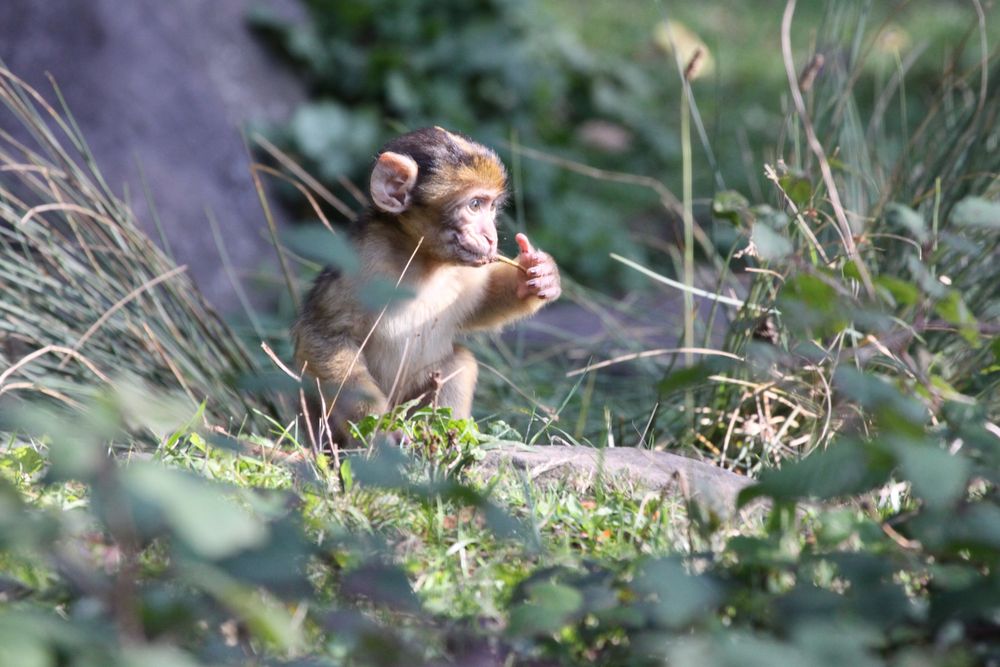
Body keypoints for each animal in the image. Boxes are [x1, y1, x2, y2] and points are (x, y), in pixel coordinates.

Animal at [292, 129, 564, 444]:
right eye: (474, 205)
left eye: (491, 206)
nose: (490, 237)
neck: (421, 258)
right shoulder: (361, 263)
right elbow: (325, 336)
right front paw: (382, 430)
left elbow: (481, 302)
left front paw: (537, 276)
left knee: (459, 363)